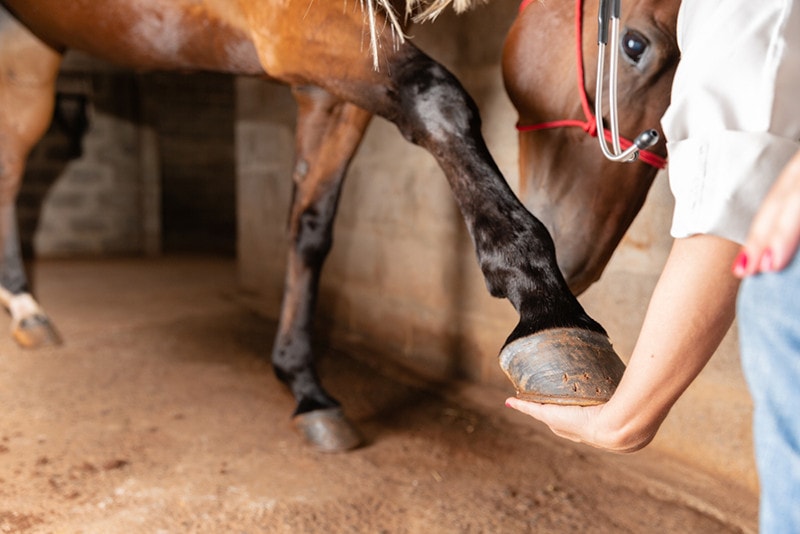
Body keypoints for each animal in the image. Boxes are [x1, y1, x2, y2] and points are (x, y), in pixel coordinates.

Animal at [0, 0, 679, 451]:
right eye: (635, 45)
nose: (581, 259)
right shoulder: (299, 31)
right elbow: (438, 97)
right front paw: (548, 309)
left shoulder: (331, 85)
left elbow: (310, 227)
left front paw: (303, 384)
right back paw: (24, 305)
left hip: (30, 46)